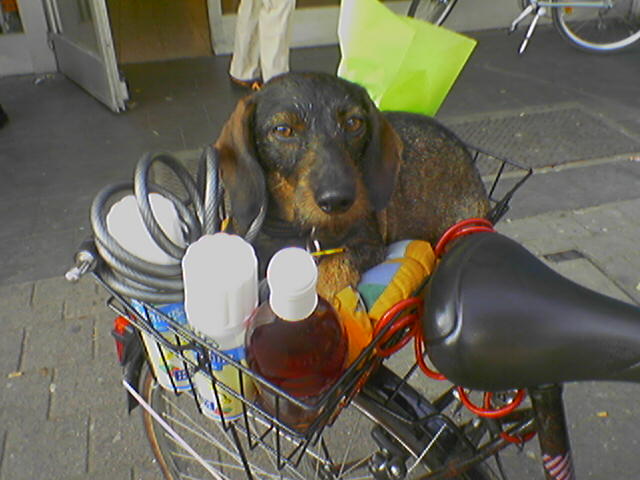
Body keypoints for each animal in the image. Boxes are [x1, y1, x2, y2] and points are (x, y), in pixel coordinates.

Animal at [214, 72, 489, 299]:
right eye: (283, 130)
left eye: (354, 123)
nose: (337, 200)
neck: (300, 230)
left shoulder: (369, 244)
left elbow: (336, 264)